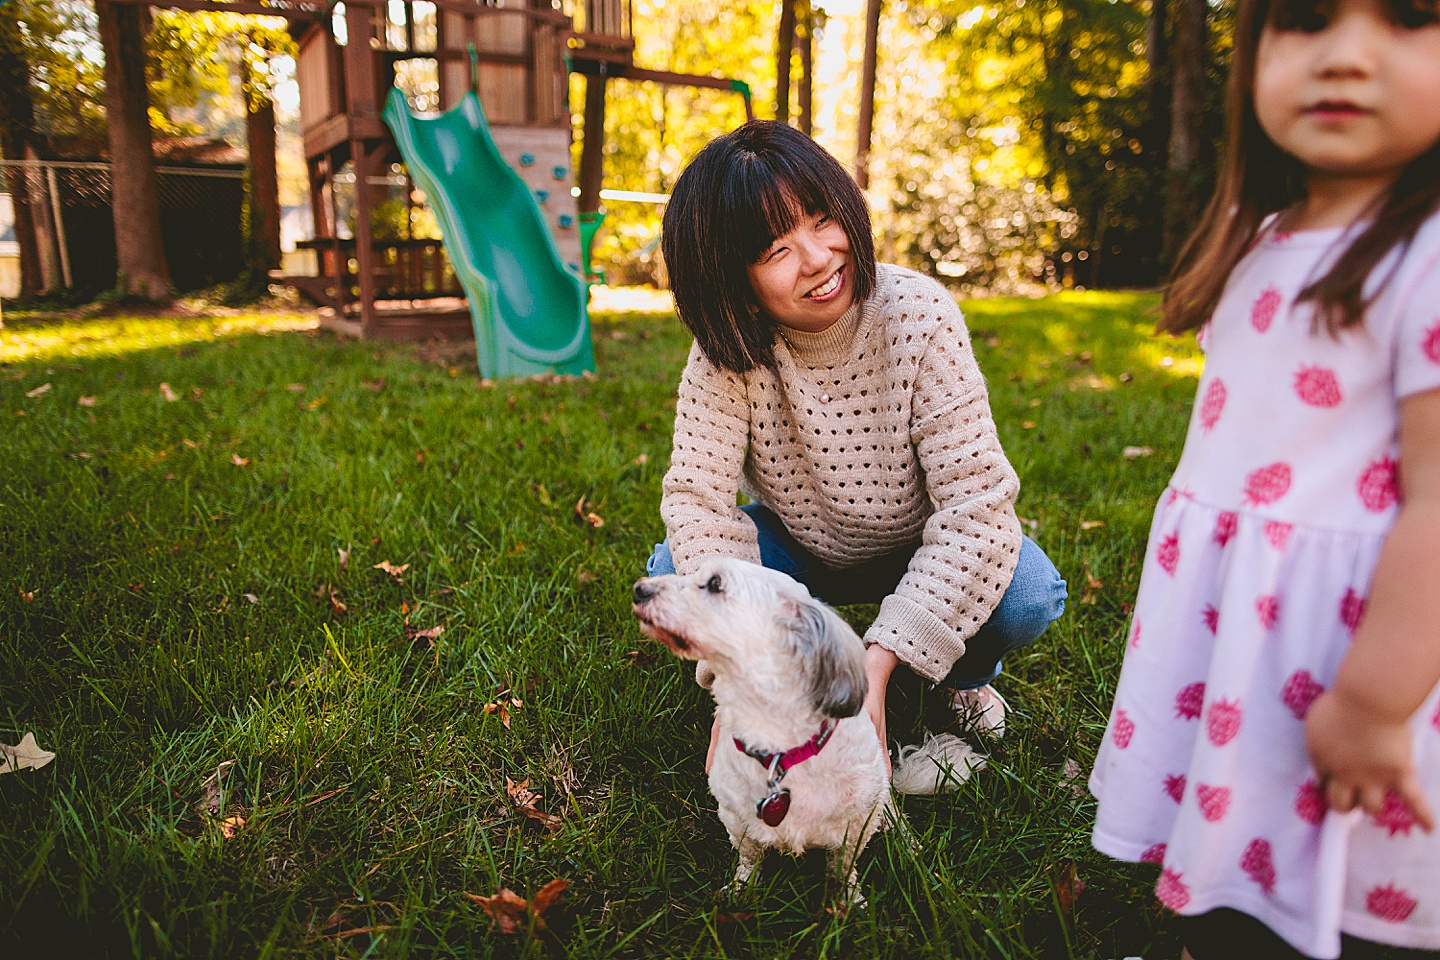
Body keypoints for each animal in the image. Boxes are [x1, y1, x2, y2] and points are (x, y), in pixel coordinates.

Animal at [636, 555, 984, 903]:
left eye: (715, 584)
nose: (639, 589)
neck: (779, 747)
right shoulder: (737, 820)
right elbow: (749, 857)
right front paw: (743, 889)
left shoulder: (854, 827)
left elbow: (843, 867)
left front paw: (847, 900)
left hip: (881, 794)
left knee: (894, 814)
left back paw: (909, 844)